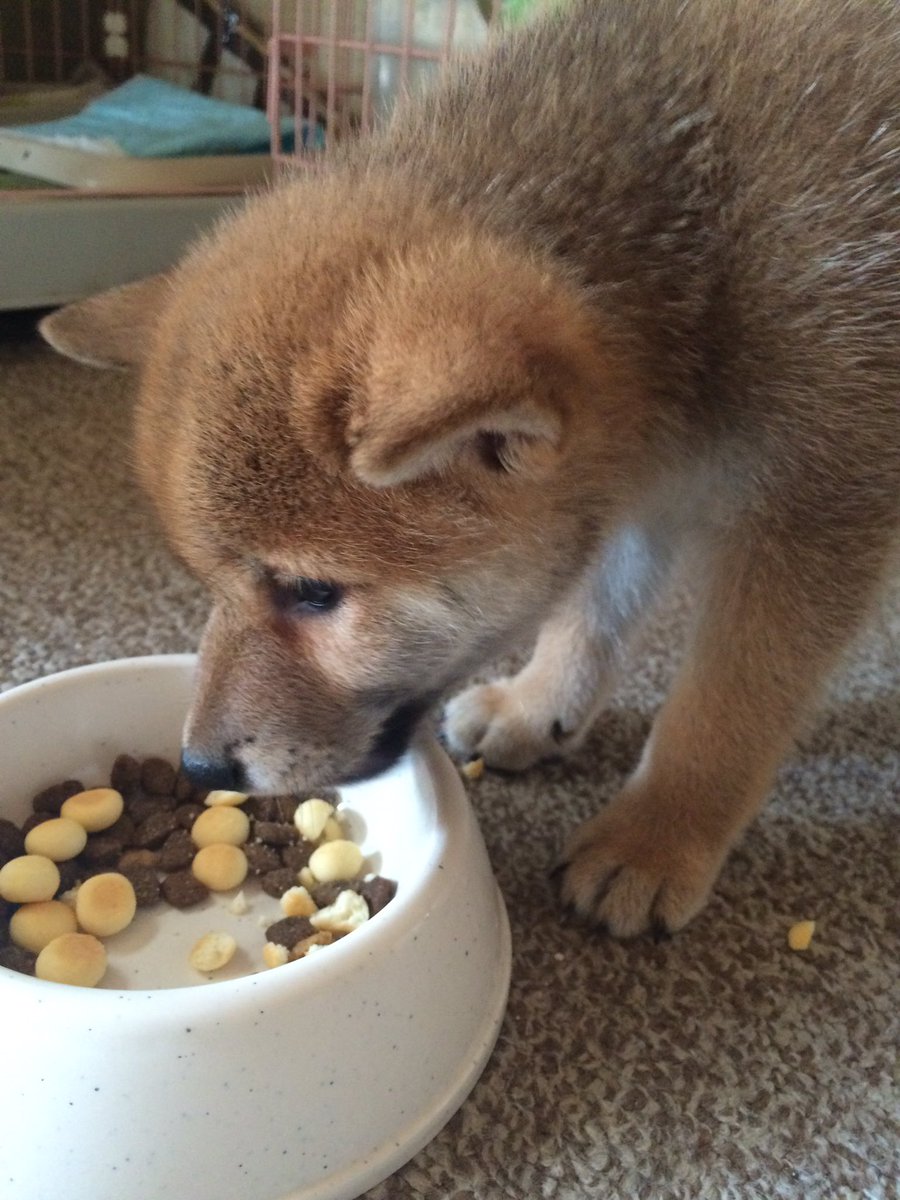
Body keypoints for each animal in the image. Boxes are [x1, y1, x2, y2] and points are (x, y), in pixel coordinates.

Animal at [41, 0, 900, 938]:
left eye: (313, 593)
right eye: (207, 582)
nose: (199, 768)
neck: (709, 245)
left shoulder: (813, 510)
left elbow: (727, 705)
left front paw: (657, 834)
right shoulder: (629, 485)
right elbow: (592, 611)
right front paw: (541, 700)